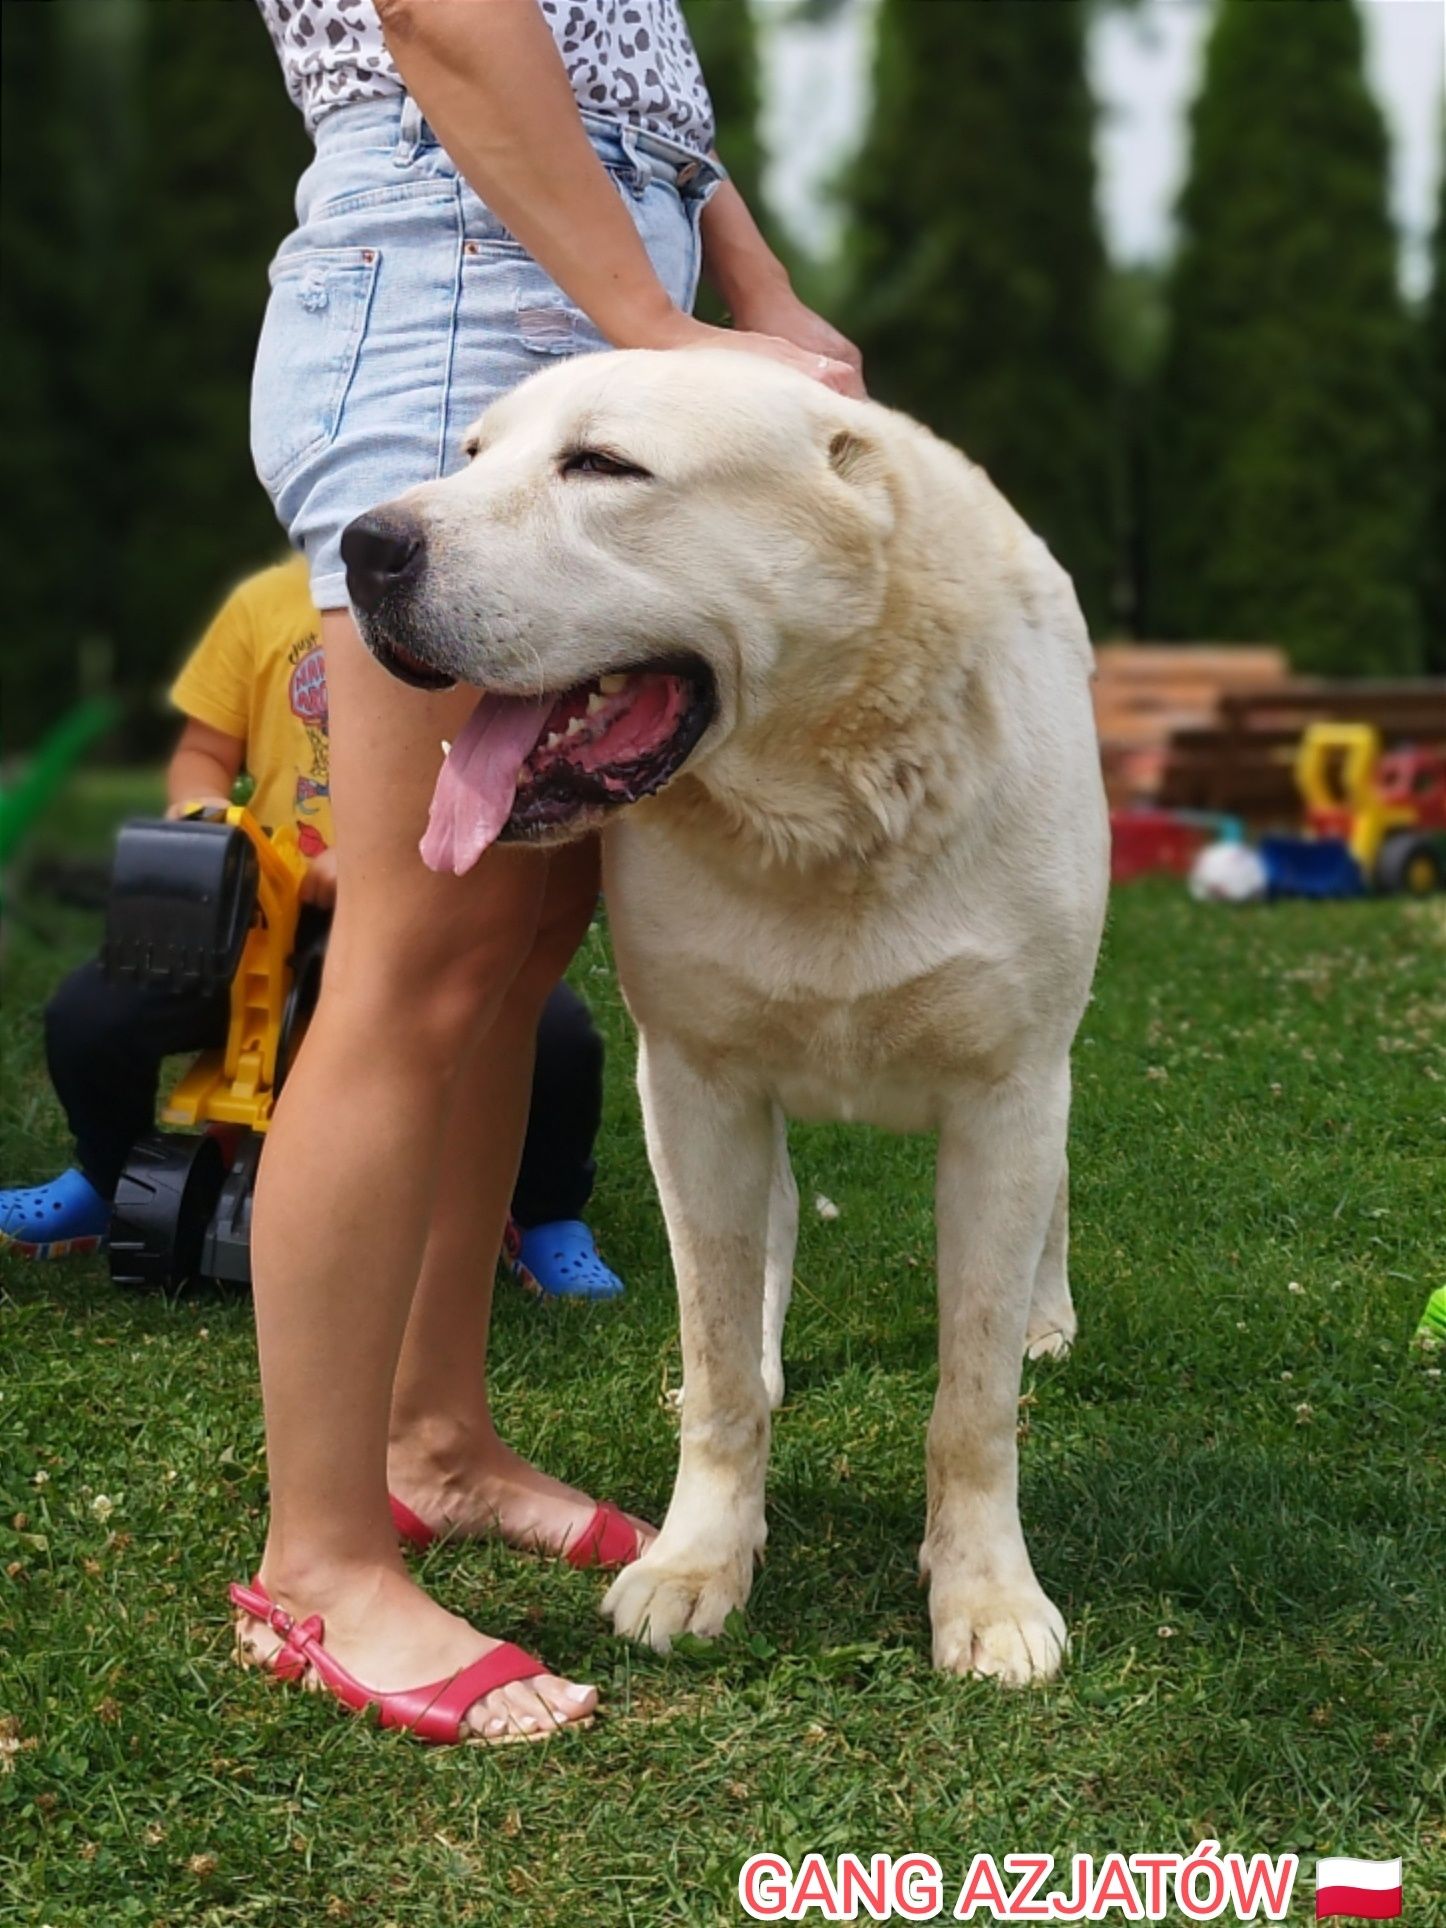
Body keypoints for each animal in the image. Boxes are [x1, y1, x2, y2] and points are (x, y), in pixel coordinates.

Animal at [348, 350, 1110, 1688]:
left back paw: (1048, 1322)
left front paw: (988, 1596)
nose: (362, 544)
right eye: (474, 453)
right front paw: (699, 1561)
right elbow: (713, 1357)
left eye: (603, 465)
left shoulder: (1010, 1088)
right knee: (762, 1242)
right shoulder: (693, 1079)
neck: (829, 815)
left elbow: (971, 1399)